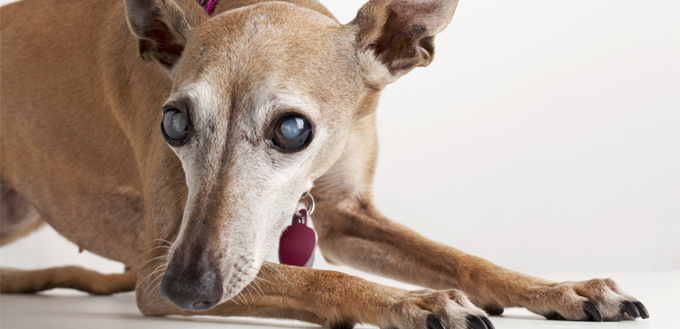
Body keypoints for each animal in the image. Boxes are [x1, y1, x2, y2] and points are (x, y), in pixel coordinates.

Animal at [0, 0, 648, 326]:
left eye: (292, 129)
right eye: (174, 122)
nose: (185, 289)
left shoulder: (343, 215)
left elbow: (463, 260)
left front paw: (562, 287)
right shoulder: (163, 255)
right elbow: (315, 276)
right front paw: (409, 302)